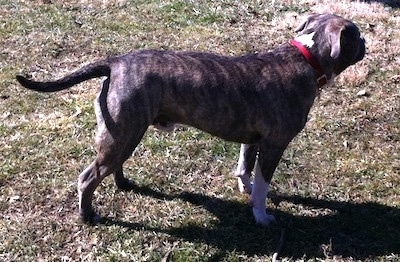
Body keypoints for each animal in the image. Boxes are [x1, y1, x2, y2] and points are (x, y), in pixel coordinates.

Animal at [15, 13, 366, 225]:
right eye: (356, 35)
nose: (366, 42)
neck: (305, 57)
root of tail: (115, 62)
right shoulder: (274, 146)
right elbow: (264, 185)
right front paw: (262, 216)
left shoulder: (253, 139)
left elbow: (245, 166)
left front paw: (246, 189)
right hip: (122, 134)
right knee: (87, 178)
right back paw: (88, 215)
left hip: (123, 133)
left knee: (112, 165)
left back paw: (123, 183)